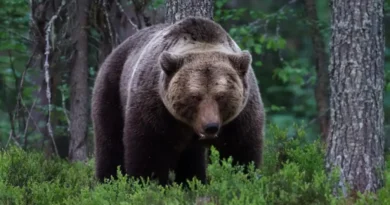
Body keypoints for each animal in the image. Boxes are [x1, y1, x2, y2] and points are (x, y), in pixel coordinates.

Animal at [92, 16, 266, 185]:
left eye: (221, 96)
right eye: (195, 96)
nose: (210, 127)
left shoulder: (241, 114)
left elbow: (241, 150)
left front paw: (243, 177)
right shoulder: (156, 107)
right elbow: (149, 151)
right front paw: (147, 183)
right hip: (112, 87)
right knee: (110, 141)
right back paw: (108, 181)